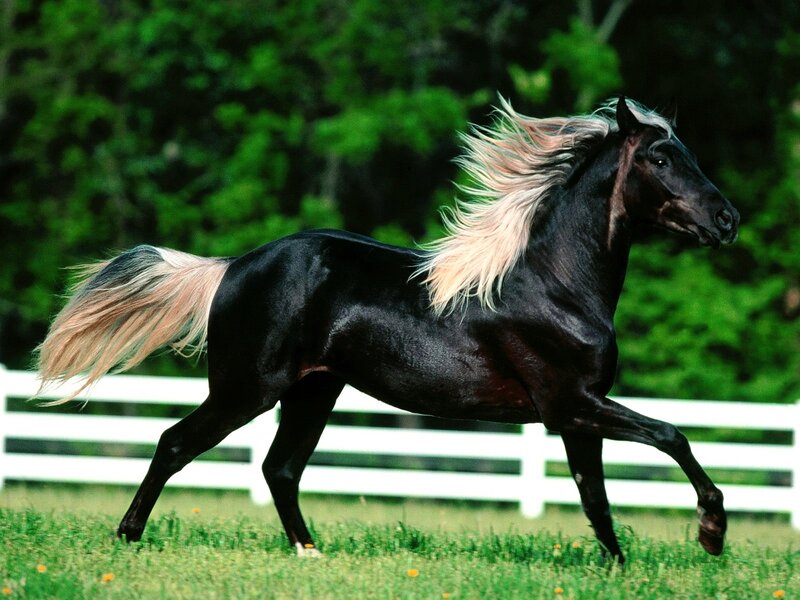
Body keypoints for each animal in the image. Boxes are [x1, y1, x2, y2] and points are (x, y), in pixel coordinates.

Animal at [36, 97, 739, 564]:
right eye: (660, 156)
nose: (727, 220)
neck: (556, 284)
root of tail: (231, 266)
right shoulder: (571, 403)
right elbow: (671, 436)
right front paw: (711, 534)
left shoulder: (576, 412)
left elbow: (595, 497)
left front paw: (617, 568)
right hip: (247, 390)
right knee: (176, 443)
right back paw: (127, 538)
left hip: (313, 391)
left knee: (279, 468)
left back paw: (310, 553)